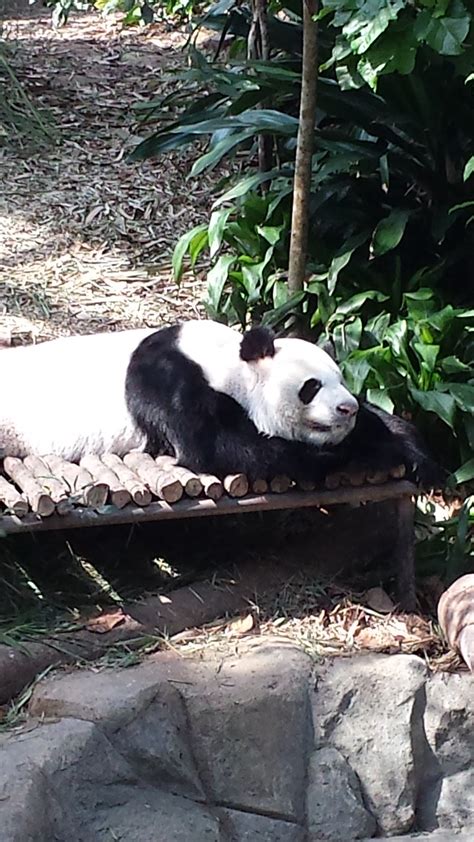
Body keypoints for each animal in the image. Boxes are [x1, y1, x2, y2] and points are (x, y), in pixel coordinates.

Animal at [0, 318, 440, 486]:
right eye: (311, 387)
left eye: (343, 380)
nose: (346, 409)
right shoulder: (166, 378)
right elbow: (211, 447)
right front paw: (334, 457)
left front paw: (416, 456)